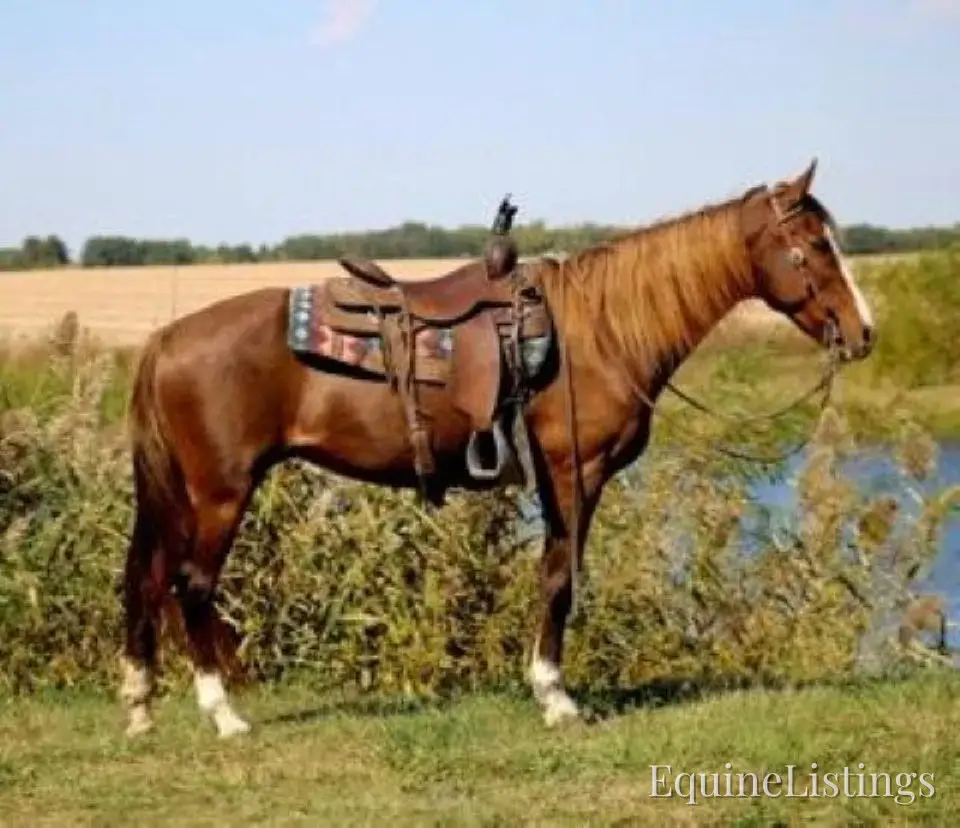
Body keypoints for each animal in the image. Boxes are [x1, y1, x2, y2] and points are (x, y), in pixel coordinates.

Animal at [118, 158, 875, 737]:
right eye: (813, 246)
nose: (864, 332)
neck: (598, 330)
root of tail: (165, 340)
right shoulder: (575, 471)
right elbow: (560, 577)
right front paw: (556, 696)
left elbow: (552, 574)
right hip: (221, 491)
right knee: (191, 584)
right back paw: (224, 715)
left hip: (183, 495)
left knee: (148, 579)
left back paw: (140, 706)